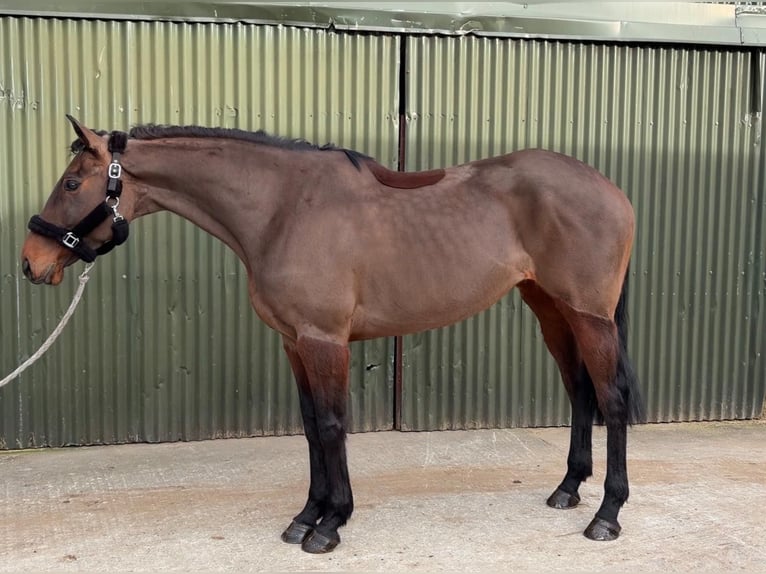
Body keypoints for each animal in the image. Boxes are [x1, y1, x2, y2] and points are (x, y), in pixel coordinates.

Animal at [20, 115, 644, 554]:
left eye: (72, 183)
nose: (30, 262)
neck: (283, 210)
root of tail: (611, 190)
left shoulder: (324, 342)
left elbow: (331, 425)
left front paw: (331, 523)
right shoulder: (294, 343)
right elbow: (309, 427)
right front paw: (306, 516)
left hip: (589, 315)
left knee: (611, 400)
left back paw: (607, 515)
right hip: (551, 309)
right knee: (580, 393)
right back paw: (568, 489)